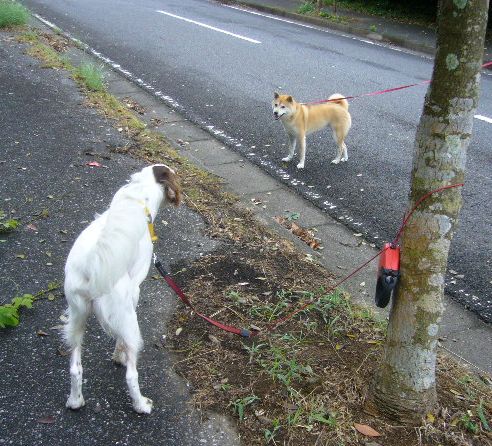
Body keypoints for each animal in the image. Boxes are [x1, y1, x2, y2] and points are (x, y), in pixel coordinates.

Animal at [63, 165, 181, 414]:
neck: (138, 198)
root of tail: (91, 265)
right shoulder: (134, 290)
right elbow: (121, 344)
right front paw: (119, 356)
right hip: (128, 321)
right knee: (131, 374)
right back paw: (141, 404)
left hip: (76, 316)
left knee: (75, 368)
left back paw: (75, 400)